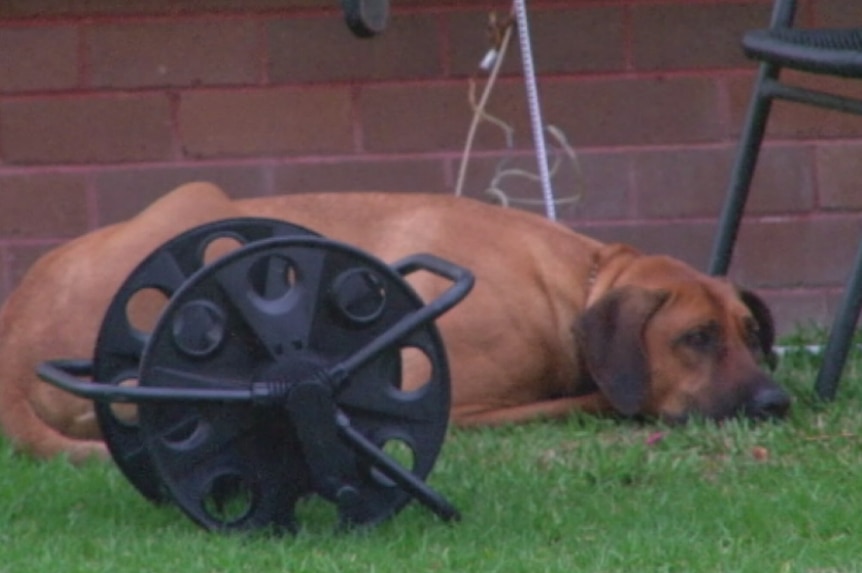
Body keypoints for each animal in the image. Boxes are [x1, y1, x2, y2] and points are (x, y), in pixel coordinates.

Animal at [0, 181, 788, 462]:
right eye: (695, 339)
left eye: (751, 335)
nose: (776, 402)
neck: (578, 281)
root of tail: (13, 346)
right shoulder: (461, 399)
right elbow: (587, 397)